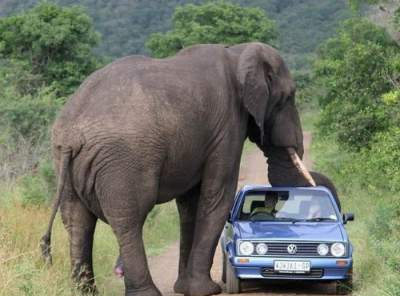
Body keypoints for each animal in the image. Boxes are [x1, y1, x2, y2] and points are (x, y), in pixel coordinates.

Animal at [40, 42, 340, 296]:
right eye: (288, 97)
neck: (237, 53)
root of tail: (72, 135)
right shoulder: (227, 126)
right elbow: (218, 196)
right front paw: (206, 291)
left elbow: (190, 205)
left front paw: (185, 288)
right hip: (124, 160)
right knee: (130, 219)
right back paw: (146, 293)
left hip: (65, 161)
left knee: (77, 221)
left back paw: (85, 292)